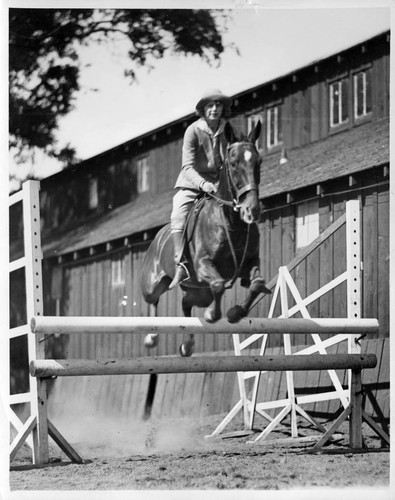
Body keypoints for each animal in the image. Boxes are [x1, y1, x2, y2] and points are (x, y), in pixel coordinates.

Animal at [139, 120, 272, 356]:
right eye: (234, 163)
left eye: (258, 162)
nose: (252, 210)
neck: (231, 222)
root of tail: (157, 238)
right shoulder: (203, 263)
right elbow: (218, 284)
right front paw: (212, 315)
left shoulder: (250, 262)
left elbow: (257, 284)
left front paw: (235, 313)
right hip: (154, 283)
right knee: (153, 300)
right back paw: (152, 336)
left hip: (199, 292)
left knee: (186, 304)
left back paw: (187, 344)